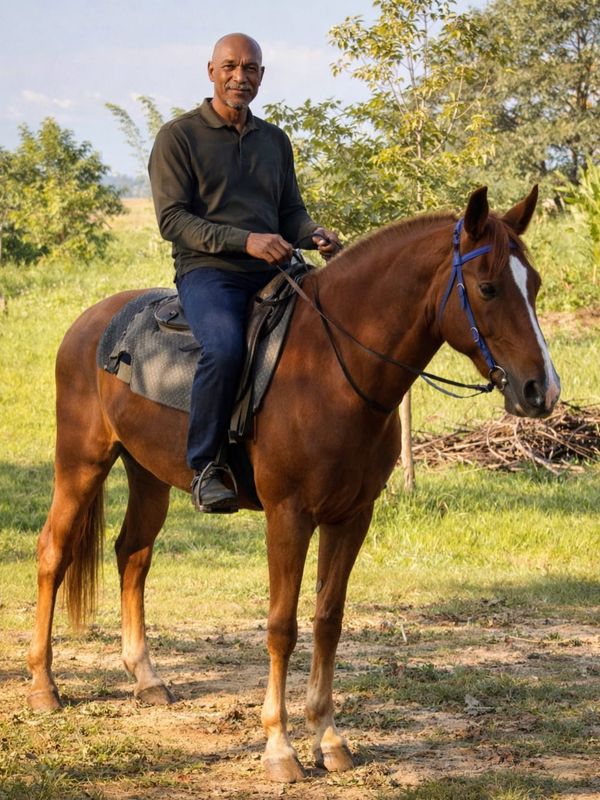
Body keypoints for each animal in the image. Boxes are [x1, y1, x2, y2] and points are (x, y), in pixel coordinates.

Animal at [27, 186, 560, 782]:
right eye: (488, 287)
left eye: (534, 285)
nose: (541, 390)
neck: (332, 368)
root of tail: (92, 322)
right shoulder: (289, 516)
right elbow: (282, 626)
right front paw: (280, 748)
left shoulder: (351, 516)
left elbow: (328, 619)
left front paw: (328, 738)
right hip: (81, 463)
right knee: (54, 552)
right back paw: (44, 686)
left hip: (148, 477)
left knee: (133, 555)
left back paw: (146, 678)